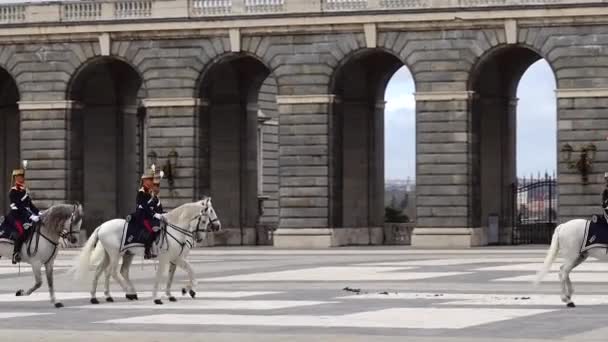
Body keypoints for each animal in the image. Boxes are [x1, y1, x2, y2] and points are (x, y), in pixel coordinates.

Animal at [73, 198, 221, 304]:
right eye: (205, 218)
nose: (217, 226)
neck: (177, 230)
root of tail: (102, 226)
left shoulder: (176, 258)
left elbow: (180, 273)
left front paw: (180, 292)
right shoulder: (166, 258)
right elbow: (162, 275)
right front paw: (158, 297)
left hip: (118, 254)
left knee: (105, 271)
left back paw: (98, 297)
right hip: (116, 254)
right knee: (112, 272)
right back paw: (127, 292)